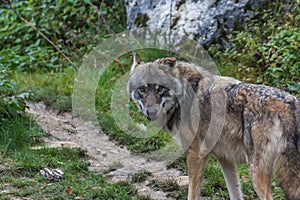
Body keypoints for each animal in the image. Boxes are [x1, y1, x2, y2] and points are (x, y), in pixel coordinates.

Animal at [126, 54, 300, 200]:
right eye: (142, 89)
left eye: (160, 88)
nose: (151, 112)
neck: (182, 96)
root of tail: (288, 103)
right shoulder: (225, 158)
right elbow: (235, 193)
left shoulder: (195, 154)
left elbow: (192, 194)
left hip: (257, 173)